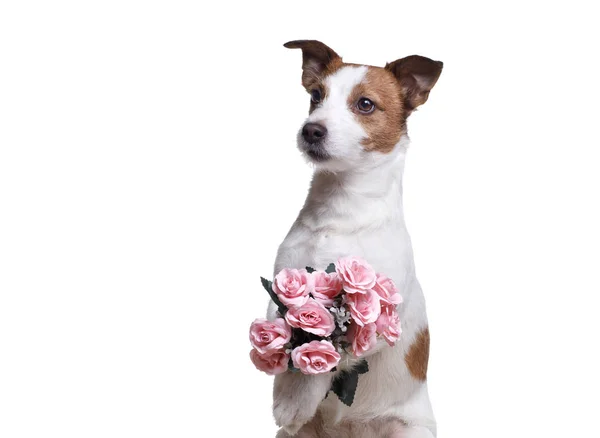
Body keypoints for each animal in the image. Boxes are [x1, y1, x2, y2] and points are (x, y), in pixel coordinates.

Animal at [270, 39, 442, 436]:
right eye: (315, 96)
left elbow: (327, 359)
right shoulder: (282, 282)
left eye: (365, 104)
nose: (311, 130)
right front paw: (285, 385)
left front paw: (294, 400)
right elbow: (283, 331)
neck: (340, 208)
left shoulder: (378, 323)